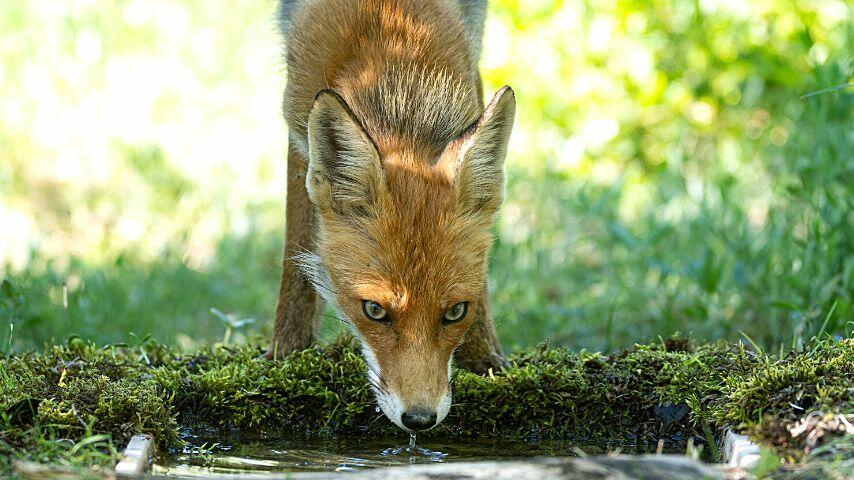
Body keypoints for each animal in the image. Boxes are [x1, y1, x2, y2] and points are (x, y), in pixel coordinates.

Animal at [272, 0, 516, 432]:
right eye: (374, 310)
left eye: (456, 311)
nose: (419, 420)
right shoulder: (297, 125)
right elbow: (296, 250)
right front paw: (288, 354)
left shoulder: (472, 72)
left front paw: (484, 359)